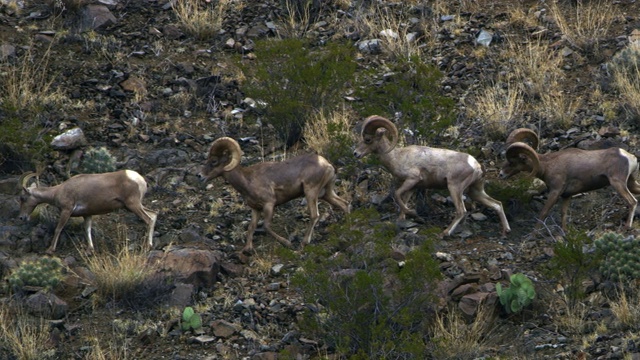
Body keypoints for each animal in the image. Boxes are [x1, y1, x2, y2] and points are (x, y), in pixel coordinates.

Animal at [18, 170, 158, 255]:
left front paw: (50, 250)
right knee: (154, 214)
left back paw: (148, 246)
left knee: (149, 219)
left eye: (22, 198)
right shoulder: (87, 215)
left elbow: (58, 229)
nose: (22, 217)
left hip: (133, 205)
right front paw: (89, 250)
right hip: (134, 206)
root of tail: (139, 179)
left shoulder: (66, 211)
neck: (58, 191)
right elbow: (87, 230)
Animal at [200, 136, 350, 255]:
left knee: (314, 215)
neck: (247, 180)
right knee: (344, 204)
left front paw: (287, 243)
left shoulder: (269, 204)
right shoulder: (256, 209)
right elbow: (251, 227)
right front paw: (247, 249)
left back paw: (303, 243)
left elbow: (266, 226)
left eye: (214, 161)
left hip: (311, 192)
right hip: (326, 193)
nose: (200, 176)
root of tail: (328, 165)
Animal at [356, 115, 510, 238]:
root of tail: (475, 165)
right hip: (475, 191)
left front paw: (413, 213)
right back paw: (505, 231)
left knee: (461, 211)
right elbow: (403, 201)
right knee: (497, 204)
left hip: (454, 188)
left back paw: (445, 233)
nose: (355, 153)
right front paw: (402, 219)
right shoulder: (412, 187)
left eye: (368, 139)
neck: (397, 157)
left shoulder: (412, 179)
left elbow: (397, 195)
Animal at [500, 128, 640, 229]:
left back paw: (627, 227)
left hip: (618, 183)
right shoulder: (566, 196)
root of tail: (630, 157)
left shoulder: (555, 192)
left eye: (512, 162)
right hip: (631, 184)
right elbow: (563, 215)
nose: (501, 174)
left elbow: (543, 213)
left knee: (632, 202)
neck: (548, 165)